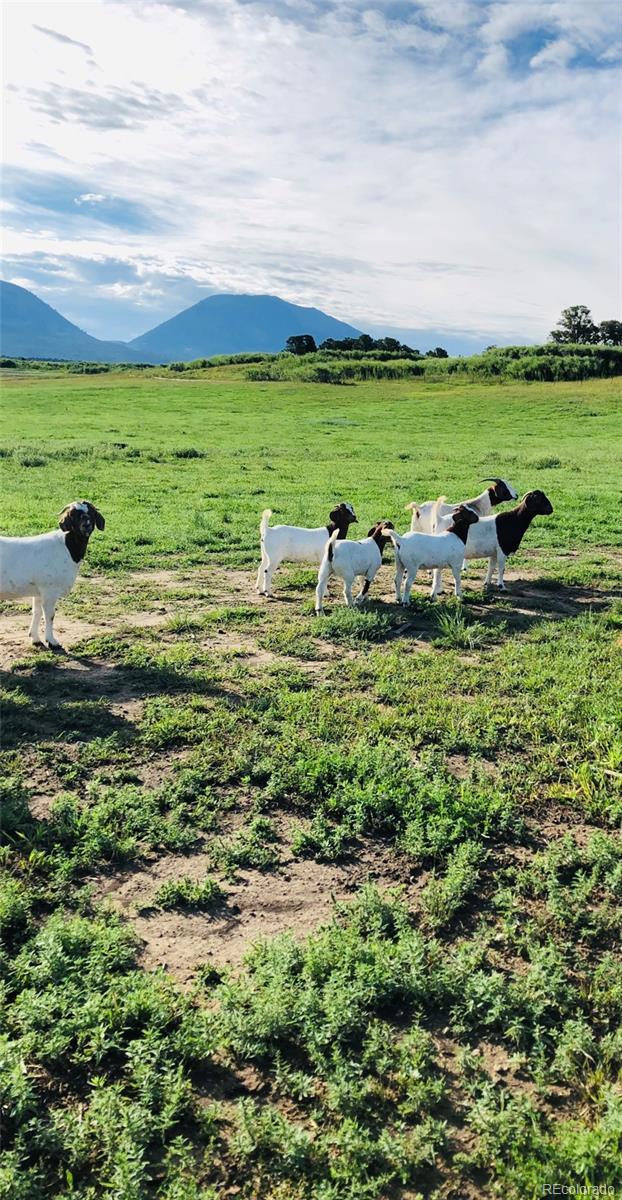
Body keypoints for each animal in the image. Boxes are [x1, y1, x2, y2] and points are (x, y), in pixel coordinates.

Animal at [0, 496, 106, 648]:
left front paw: (35, 638)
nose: (86, 524)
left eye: (91, 512)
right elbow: (50, 615)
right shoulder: (49, 590)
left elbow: (37, 612)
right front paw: (52, 641)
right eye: (73, 515)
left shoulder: (38, 591)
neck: (67, 547)